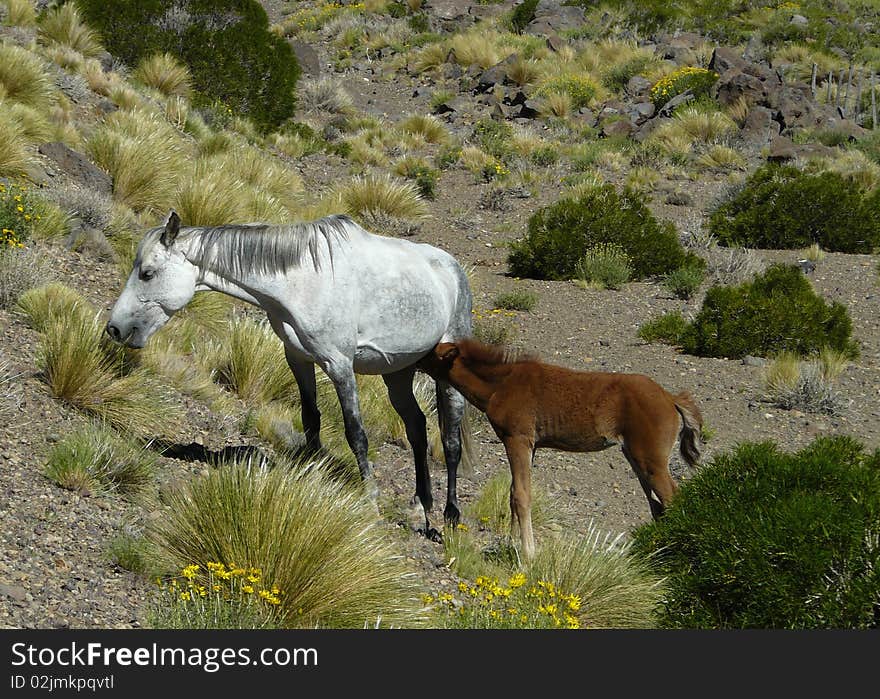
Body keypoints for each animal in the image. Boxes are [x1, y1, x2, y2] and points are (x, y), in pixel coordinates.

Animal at [108, 211, 474, 540]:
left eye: (147, 273)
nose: (115, 329)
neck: (305, 280)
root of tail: (453, 268)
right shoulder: (298, 357)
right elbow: (311, 419)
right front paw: (312, 476)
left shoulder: (339, 364)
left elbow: (356, 434)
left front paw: (370, 500)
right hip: (398, 372)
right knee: (417, 428)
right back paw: (421, 507)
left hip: (448, 372)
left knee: (450, 441)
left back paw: (451, 516)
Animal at [418, 336, 700, 560]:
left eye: (431, 353)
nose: (412, 361)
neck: (500, 385)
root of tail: (670, 398)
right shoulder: (529, 446)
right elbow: (512, 493)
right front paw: (510, 545)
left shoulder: (517, 439)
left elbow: (521, 495)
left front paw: (529, 553)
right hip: (635, 457)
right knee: (657, 506)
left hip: (651, 460)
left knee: (671, 499)